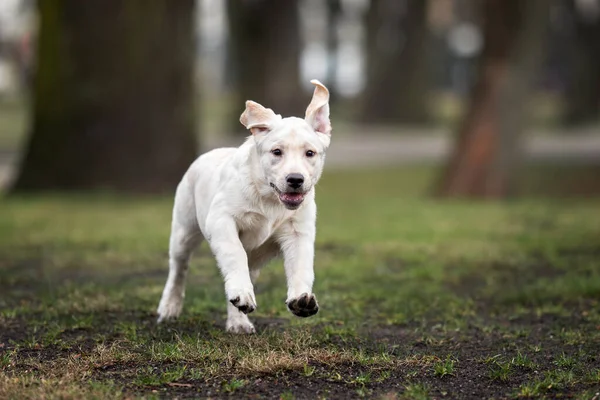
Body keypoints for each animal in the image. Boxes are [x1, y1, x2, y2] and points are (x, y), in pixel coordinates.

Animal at [157, 79, 330, 332]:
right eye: (276, 152)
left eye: (310, 153)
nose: (295, 179)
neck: (269, 199)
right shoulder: (221, 219)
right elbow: (234, 253)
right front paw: (242, 293)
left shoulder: (299, 232)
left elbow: (302, 266)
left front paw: (301, 300)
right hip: (183, 231)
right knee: (178, 270)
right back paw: (170, 307)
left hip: (255, 259)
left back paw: (238, 322)